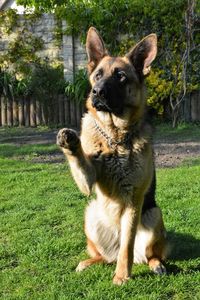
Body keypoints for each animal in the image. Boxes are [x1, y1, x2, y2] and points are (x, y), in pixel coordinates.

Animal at [57, 27, 168, 284]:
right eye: (98, 75)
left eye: (121, 77)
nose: (97, 92)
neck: (115, 138)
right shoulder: (87, 180)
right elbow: (81, 161)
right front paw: (71, 142)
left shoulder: (134, 200)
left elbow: (127, 247)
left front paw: (122, 276)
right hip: (90, 214)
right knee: (105, 256)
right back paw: (88, 262)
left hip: (154, 214)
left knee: (144, 253)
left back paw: (156, 264)